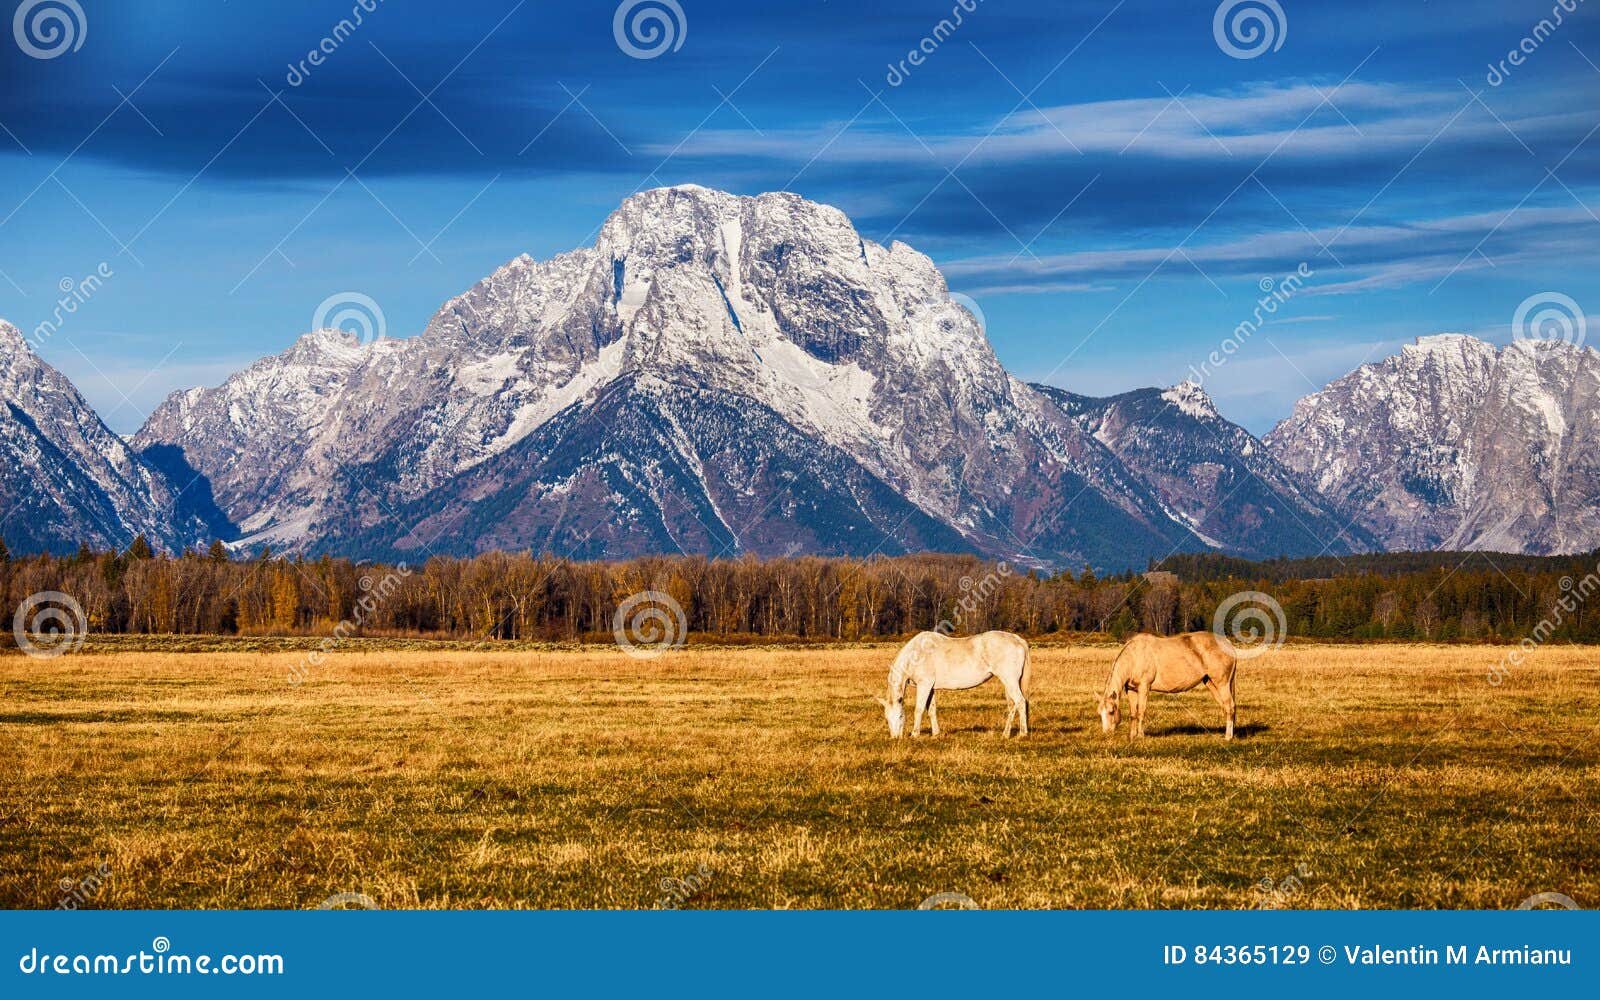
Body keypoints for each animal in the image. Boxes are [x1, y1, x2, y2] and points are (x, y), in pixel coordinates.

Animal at [876, 630, 1036, 732]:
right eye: (886, 719)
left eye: (900, 716)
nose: (896, 738)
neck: (916, 655)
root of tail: (1018, 639)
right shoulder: (931, 688)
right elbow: (931, 710)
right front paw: (936, 734)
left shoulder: (924, 685)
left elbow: (919, 709)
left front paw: (915, 734)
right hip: (1009, 683)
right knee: (1013, 705)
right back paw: (1006, 734)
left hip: (1010, 681)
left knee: (1020, 702)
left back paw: (1022, 733)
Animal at [1100, 630, 1235, 742]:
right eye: (1100, 713)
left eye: (1111, 712)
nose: (1106, 733)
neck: (1135, 656)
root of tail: (1228, 644)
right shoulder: (1131, 690)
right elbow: (1133, 713)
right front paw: (1132, 736)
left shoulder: (1144, 687)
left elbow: (1141, 712)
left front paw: (1140, 735)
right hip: (1211, 683)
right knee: (1225, 706)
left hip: (1222, 684)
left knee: (1229, 706)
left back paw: (1228, 737)